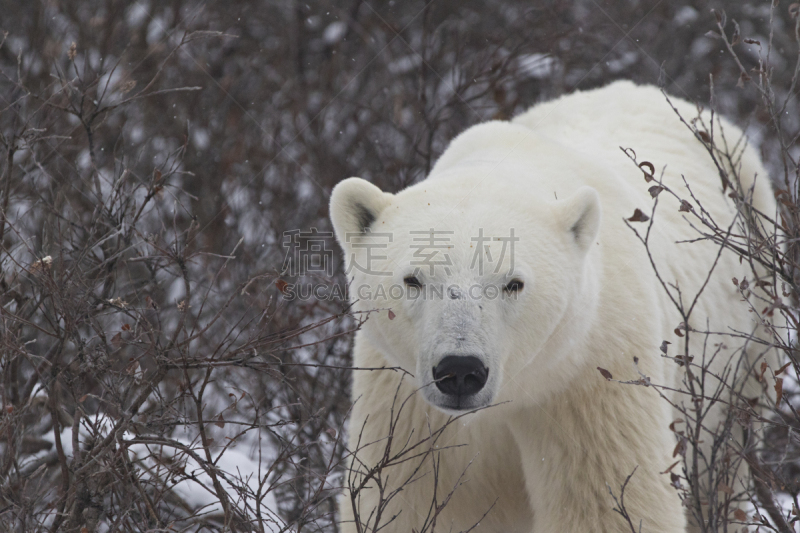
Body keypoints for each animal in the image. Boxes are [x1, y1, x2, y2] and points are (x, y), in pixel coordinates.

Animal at [328, 80, 780, 532]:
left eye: (512, 283)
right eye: (414, 280)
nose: (459, 371)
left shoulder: (590, 375)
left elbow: (610, 504)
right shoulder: (407, 406)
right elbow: (413, 503)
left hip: (750, 328)